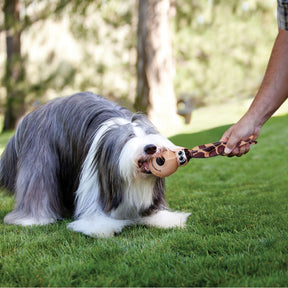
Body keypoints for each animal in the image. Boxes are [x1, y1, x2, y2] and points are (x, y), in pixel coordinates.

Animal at [0, 91, 191, 236]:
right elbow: (95, 216)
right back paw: (32, 219)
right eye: (129, 137)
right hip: (40, 155)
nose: (151, 147)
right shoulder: (94, 182)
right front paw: (100, 226)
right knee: (37, 185)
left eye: (149, 133)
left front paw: (164, 219)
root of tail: (31, 116)